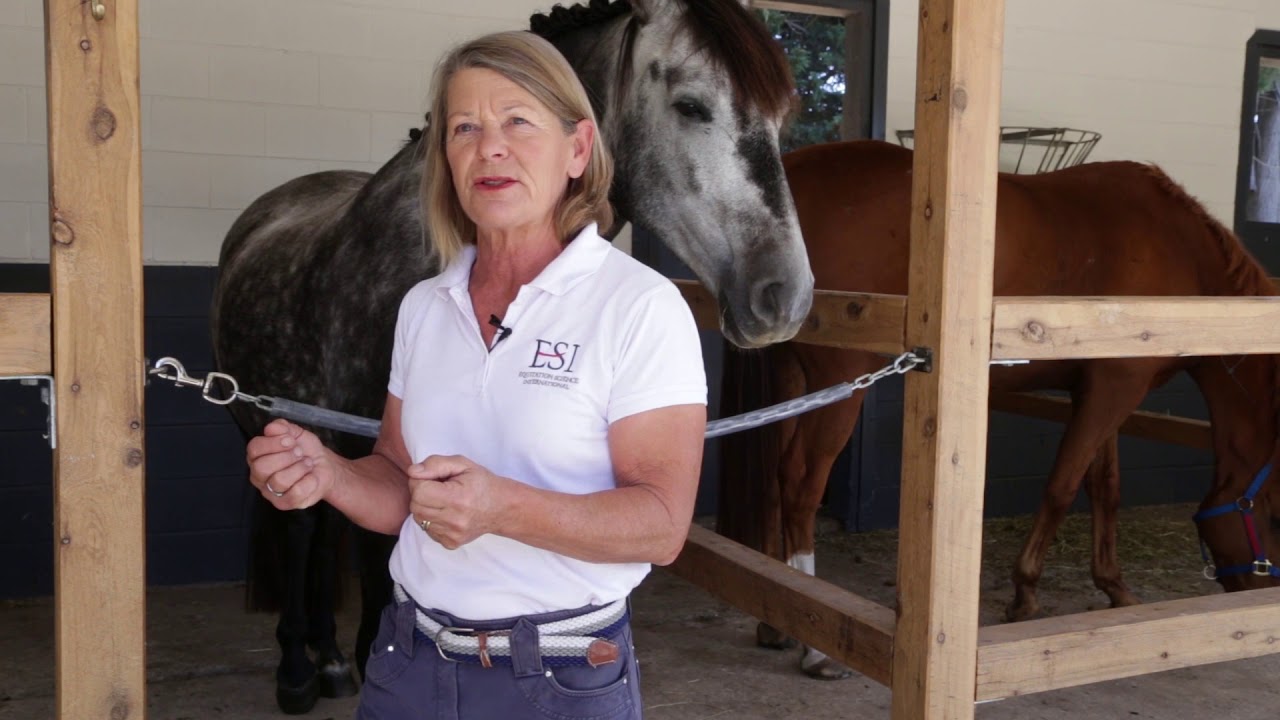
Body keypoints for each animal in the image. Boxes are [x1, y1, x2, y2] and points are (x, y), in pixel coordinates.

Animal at [717, 139, 1280, 679]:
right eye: (1272, 515)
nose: (1262, 602)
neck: (1179, 250)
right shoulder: (1116, 390)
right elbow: (1062, 487)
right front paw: (1025, 594)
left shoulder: (1102, 389)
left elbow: (1105, 489)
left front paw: (1115, 587)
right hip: (839, 382)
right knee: (800, 484)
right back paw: (815, 648)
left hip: (793, 377)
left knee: (775, 480)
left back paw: (777, 619)